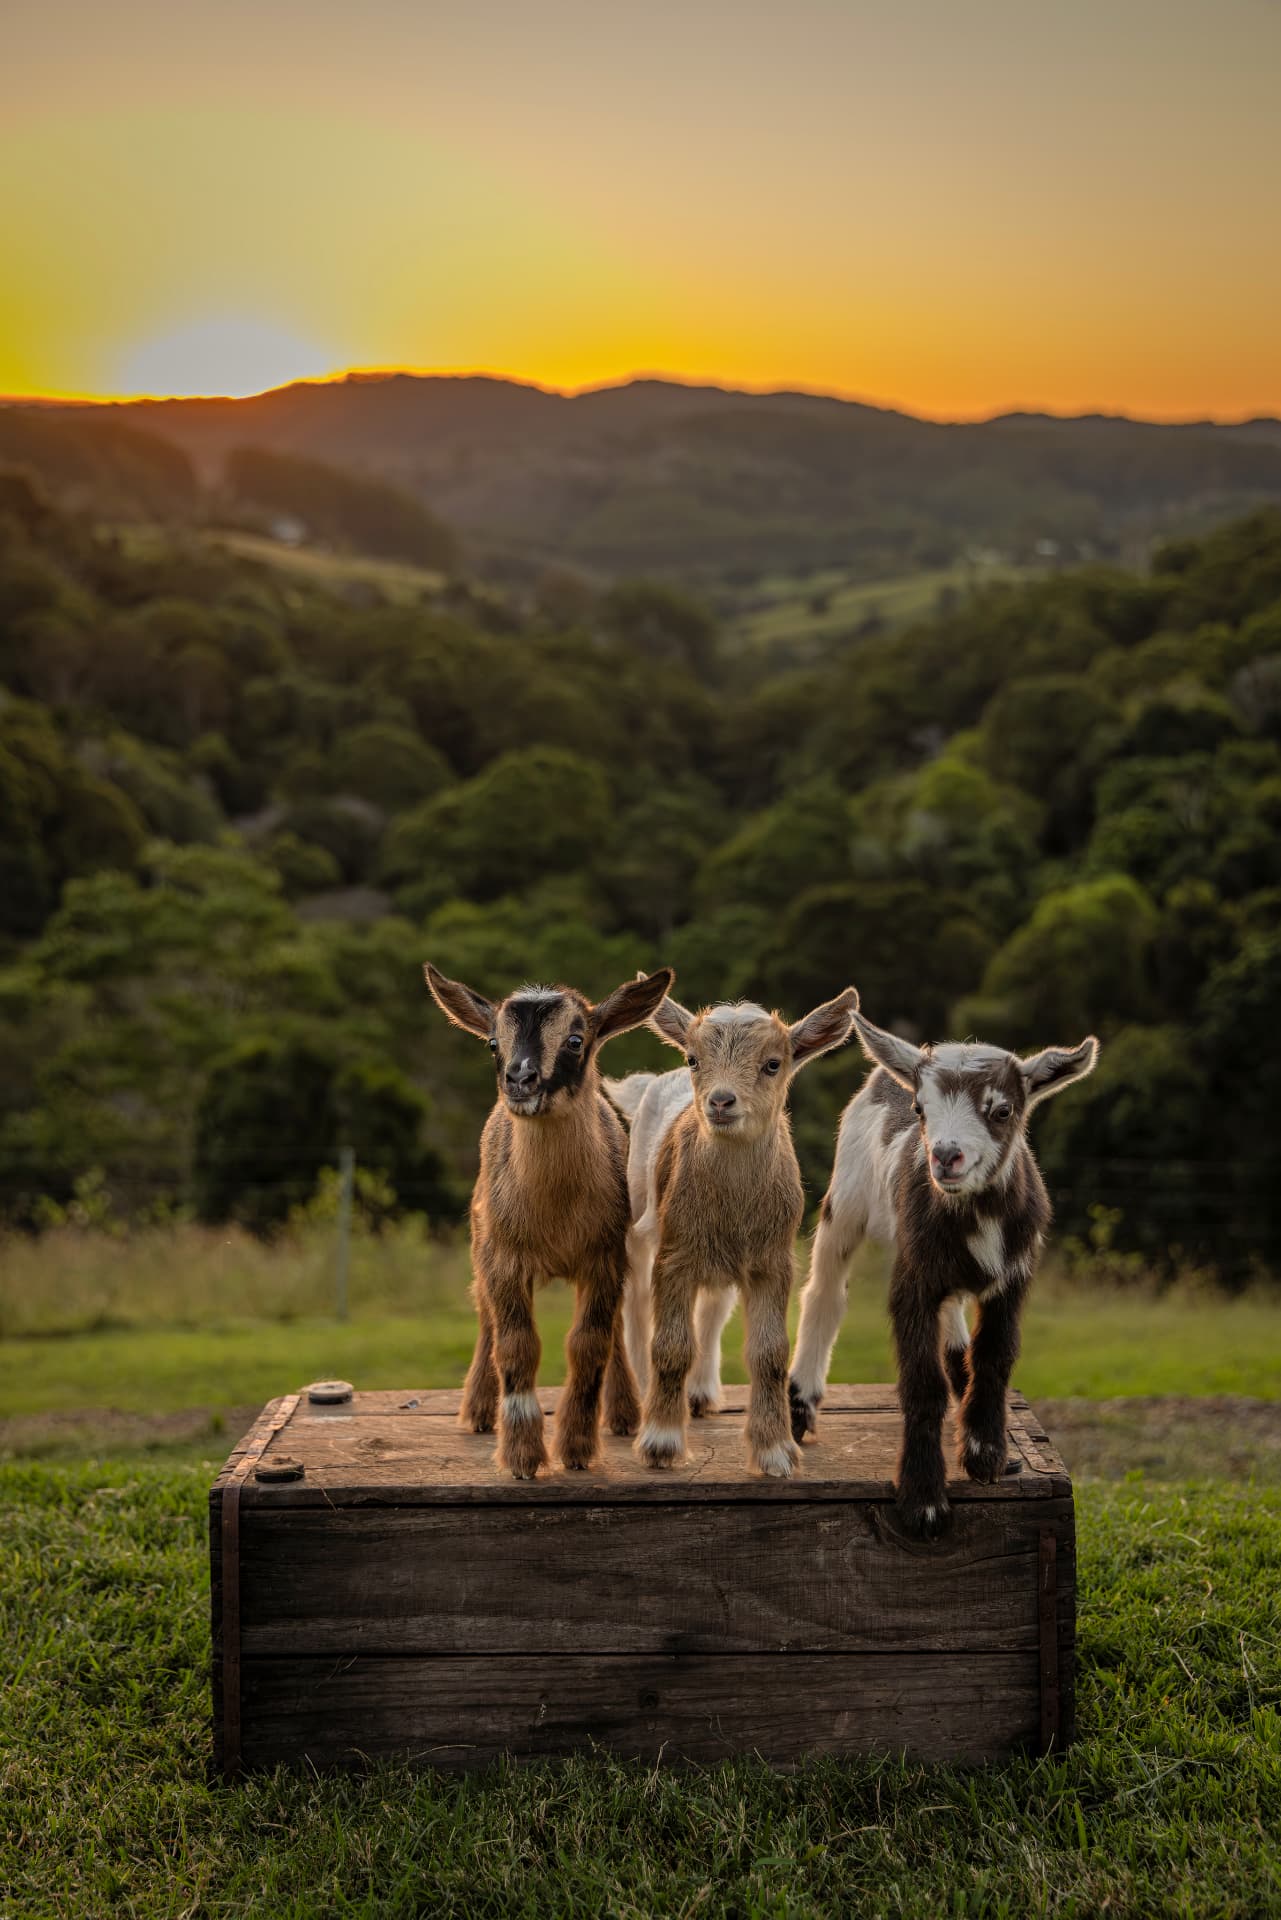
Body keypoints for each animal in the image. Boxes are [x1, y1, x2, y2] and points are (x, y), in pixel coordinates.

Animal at [423, 962, 674, 1478]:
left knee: (616, 1328)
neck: (555, 1215)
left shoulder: (604, 1257)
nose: (520, 1078)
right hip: (480, 1243)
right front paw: (522, 1456)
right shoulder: (504, 1258)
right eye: (492, 1043)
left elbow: (589, 1342)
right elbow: (516, 1344)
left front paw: (577, 1449)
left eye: (576, 1040)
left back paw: (623, 1414)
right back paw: (479, 1411)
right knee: (485, 1318)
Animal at [607, 985, 858, 1479]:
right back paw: (645, 1396)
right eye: (694, 1059)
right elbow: (671, 1345)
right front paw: (661, 1442)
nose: (721, 1102)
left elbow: (770, 1353)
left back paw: (701, 1392)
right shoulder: (676, 1254)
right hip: (643, 1222)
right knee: (638, 1306)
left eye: (773, 1063)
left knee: (713, 1307)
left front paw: (776, 1451)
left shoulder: (772, 1261)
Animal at [788, 1008, 1098, 1536]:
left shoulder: (1013, 1279)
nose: (946, 1156)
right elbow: (921, 1382)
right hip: (845, 1200)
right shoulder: (911, 1282)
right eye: (920, 1109)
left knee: (953, 1324)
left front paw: (986, 1452)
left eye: (1001, 1111)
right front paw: (924, 1499)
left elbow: (994, 1354)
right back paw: (800, 1405)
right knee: (825, 1292)